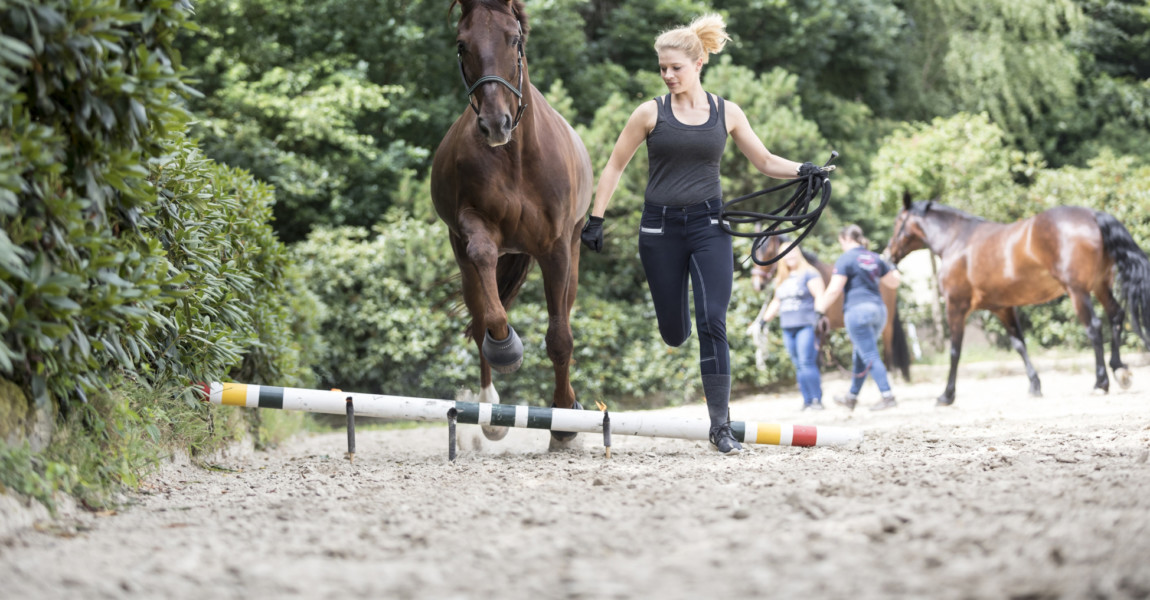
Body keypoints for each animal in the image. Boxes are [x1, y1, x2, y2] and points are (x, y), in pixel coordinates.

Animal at [432, 1, 593, 443]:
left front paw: (564, 418)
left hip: (571, 254)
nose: (495, 124)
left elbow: (560, 337)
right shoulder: (473, 227)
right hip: (463, 255)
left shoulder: (557, 249)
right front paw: (505, 349)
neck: (516, 157)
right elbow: (490, 309)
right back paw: (490, 411)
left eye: (514, 39)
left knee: (562, 314)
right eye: (462, 44)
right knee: (480, 313)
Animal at [749, 234, 910, 379]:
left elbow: (815, 361)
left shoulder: (818, 330)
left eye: (769, 252)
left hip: (887, 324)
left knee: (887, 348)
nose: (757, 284)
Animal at [883, 194, 1150, 404]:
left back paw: (1100, 382)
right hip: (1100, 286)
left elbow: (955, 350)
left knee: (1094, 328)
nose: (888, 254)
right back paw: (1119, 370)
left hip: (1078, 291)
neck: (957, 241)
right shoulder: (1003, 308)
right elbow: (1019, 344)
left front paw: (946, 395)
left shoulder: (955, 305)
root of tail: (1093, 215)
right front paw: (1035, 386)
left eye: (897, 222)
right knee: (1116, 316)